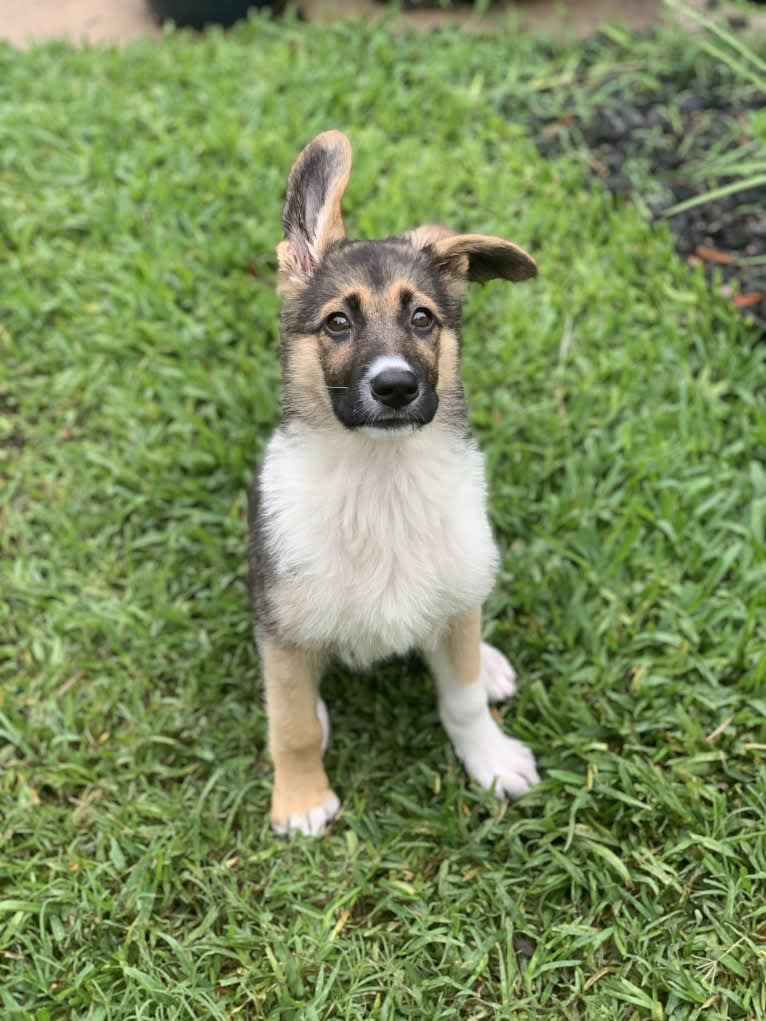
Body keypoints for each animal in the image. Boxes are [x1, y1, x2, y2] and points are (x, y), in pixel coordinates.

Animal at [249, 129, 543, 837]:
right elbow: (291, 725)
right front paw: (300, 799)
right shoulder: (283, 627)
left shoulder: (455, 606)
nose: (396, 387)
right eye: (337, 322)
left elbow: (462, 699)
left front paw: (491, 760)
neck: (381, 478)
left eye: (422, 319)